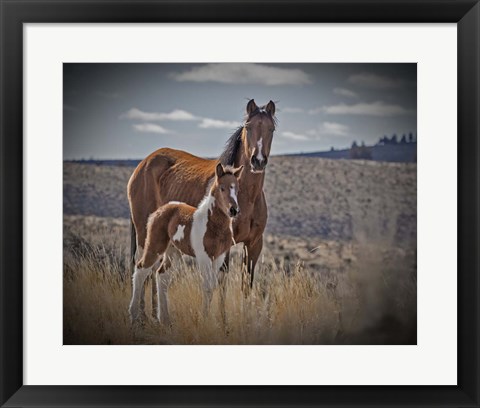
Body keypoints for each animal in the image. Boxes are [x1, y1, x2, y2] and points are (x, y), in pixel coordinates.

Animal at [129, 164, 244, 324]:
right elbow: (207, 287)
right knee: (141, 269)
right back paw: (134, 315)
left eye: (237, 189)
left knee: (162, 276)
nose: (234, 210)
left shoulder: (219, 257)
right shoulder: (204, 257)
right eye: (222, 188)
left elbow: (213, 286)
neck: (213, 225)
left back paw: (165, 320)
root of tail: (158, 211)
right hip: (155, 246)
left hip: (173, 252)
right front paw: (204, 320)